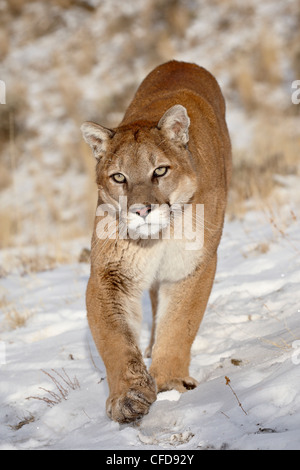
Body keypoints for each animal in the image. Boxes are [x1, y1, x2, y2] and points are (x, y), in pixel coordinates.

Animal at [81, 58, 231, 422]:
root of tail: (182, 62)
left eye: (159, 171)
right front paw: (129, 396)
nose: (141, 210)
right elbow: (115, 339)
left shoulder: (192, 266)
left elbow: (179, 322)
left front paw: (169, 381)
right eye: (118, 177)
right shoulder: (110, 274)